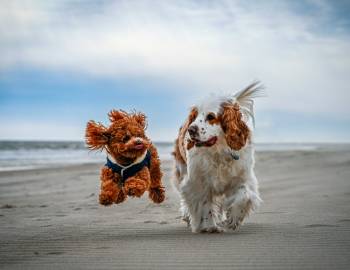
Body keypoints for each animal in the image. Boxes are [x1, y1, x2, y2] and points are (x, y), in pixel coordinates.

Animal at [172, 81, 262, 232]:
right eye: (194, 116)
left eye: (210, 117)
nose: (190, 129)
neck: (218, 152)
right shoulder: (197, 182)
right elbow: (205, 204)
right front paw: (209, 226)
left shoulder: (243, 177)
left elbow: (244, 195)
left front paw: (234, 218)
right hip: (182, 170)